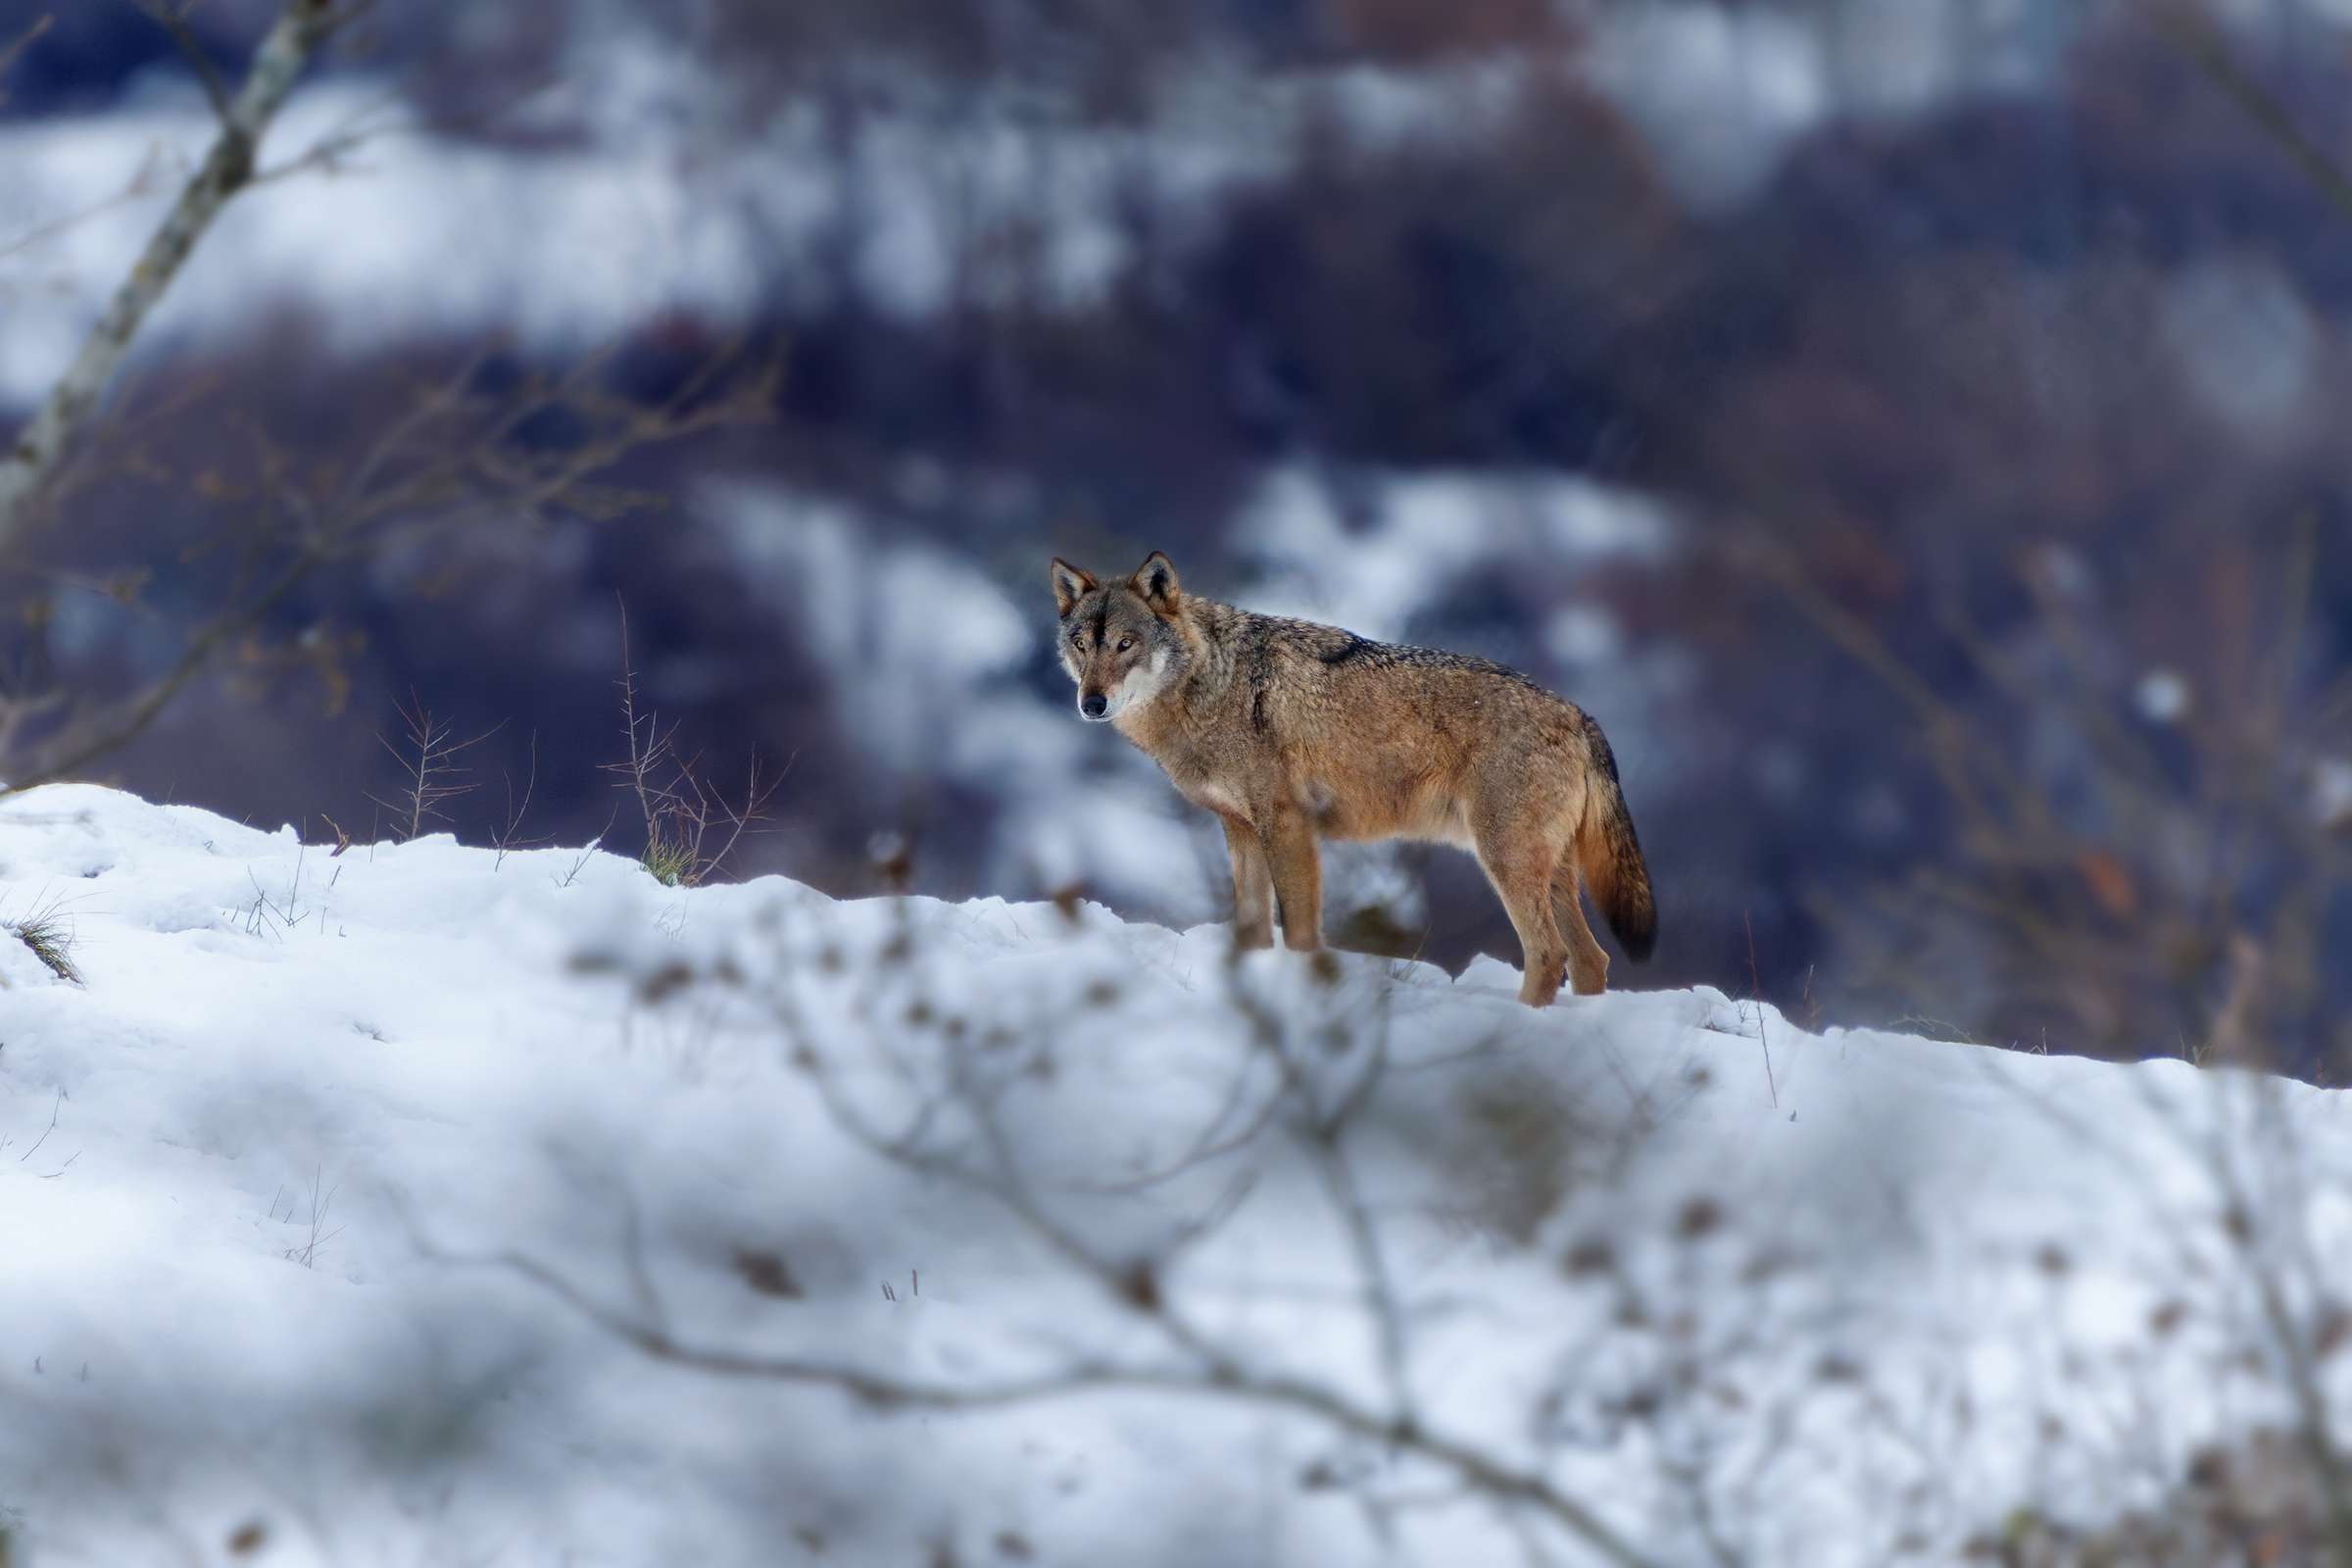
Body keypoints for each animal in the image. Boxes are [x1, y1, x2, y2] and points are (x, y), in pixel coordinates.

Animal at [1050, 551, 1655, 1006]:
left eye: (1125, 644)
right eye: (1082, 645)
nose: (1091, 704)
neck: (1212, 685)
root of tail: (1579, 715)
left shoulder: (1287, 826)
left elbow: (1299, 932)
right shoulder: (1240, 830)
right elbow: (1252, 930)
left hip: (1504, 859)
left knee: (1550, 954)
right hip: (1547, 871)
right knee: (1591, 958)